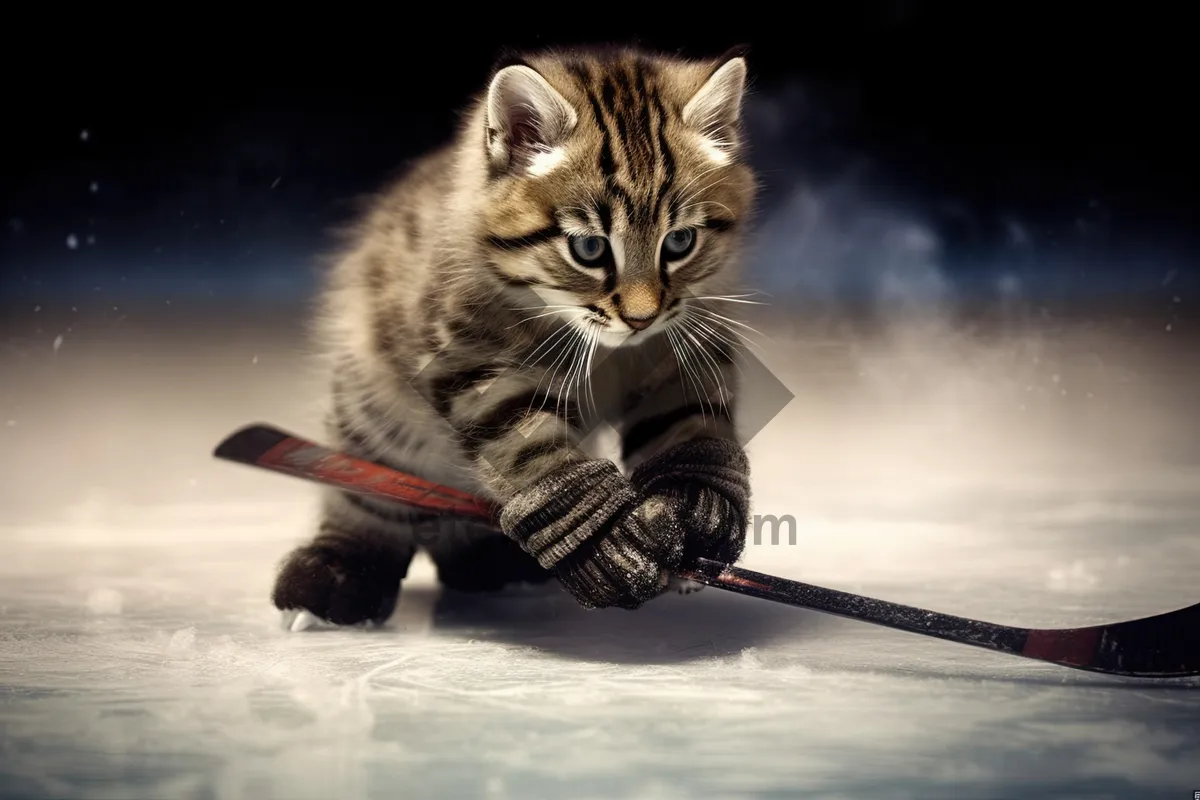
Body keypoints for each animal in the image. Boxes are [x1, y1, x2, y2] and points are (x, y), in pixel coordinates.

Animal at [276, 45, 753, 623]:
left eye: (679, 242)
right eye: (589, 249)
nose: (640, 318)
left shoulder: (683, 337)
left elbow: (687, 420)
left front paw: (698, 502)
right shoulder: (467, 359)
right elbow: (526, 444)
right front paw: (604, 535)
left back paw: (488, 560)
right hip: (371, 413)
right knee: (364, 488)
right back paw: (335, 572)